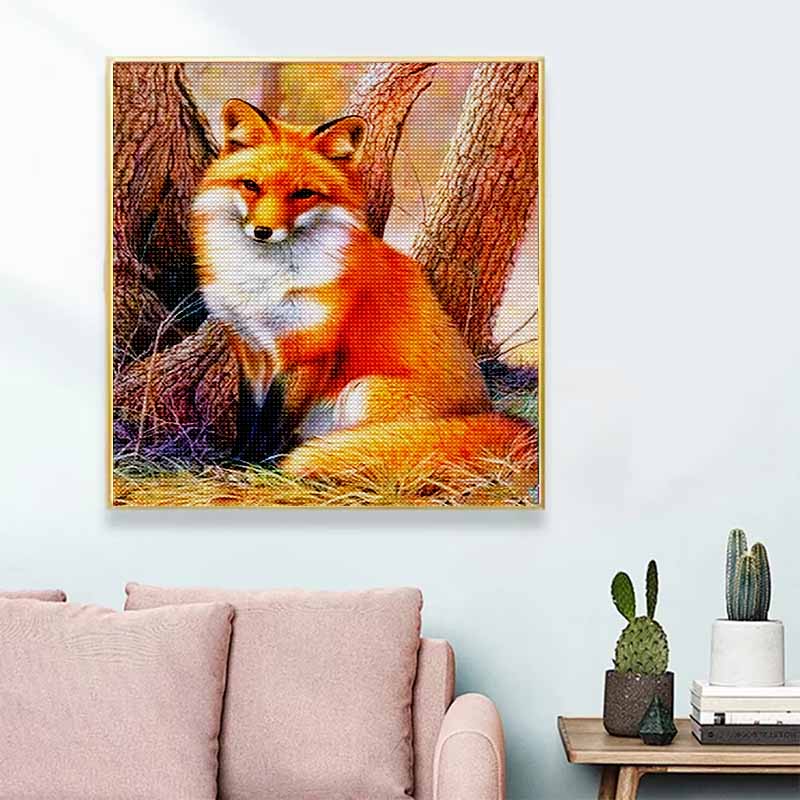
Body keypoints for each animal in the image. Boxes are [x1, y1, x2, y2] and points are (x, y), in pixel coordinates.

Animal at [191, 98, 536, 481]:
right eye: (251, 185)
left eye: (304, 194)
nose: (262, 231)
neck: (262, 279)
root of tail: (486, 412)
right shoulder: (250, 349)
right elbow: (249, 416)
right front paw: (235, 460)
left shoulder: (309, 351)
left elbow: (272, 422)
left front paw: (255, 467)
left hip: (364, 391)